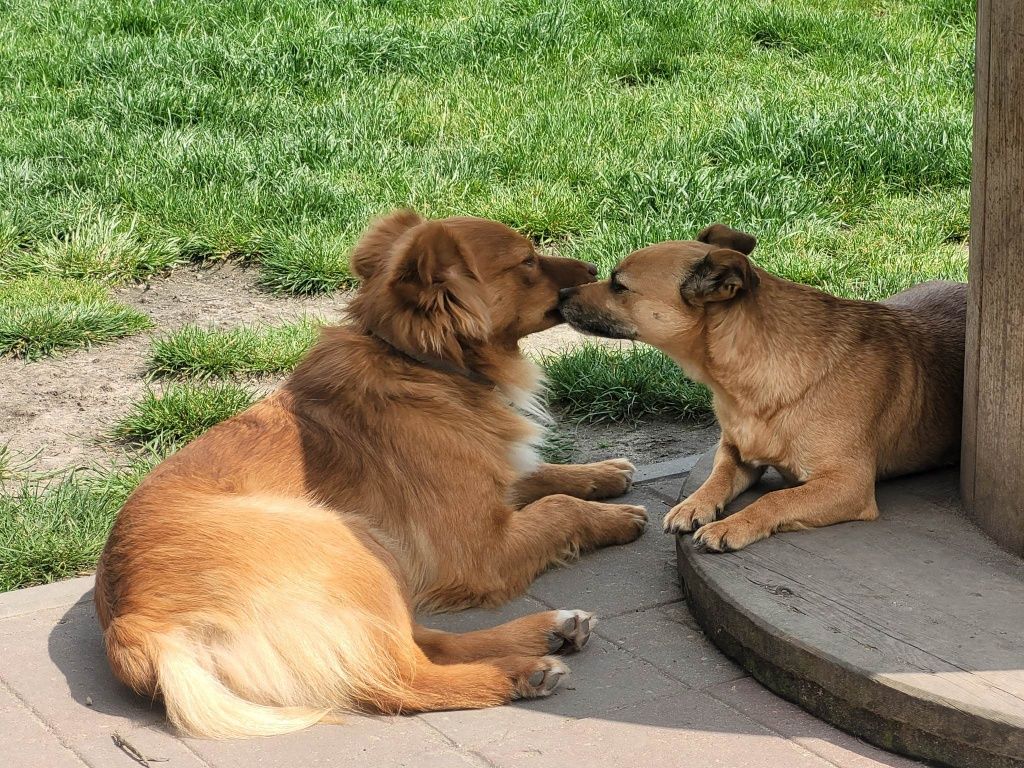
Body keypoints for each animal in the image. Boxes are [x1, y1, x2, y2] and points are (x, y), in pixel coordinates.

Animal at [94, 210, 647, 741]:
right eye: (527, 262)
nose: (594, 271)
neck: (423, 365)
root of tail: (135, 629)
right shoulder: (479, 551)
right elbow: (556, 508)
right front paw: (613, 518)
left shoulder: (488, 481)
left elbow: (534, 475)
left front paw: (601, 474)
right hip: (349, 542)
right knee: (401, 677)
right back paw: (520, 671)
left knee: (415, 642)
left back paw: (550, 630)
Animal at [557, 222, 962, 552]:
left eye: (618, 285)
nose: (560, 293)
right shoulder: (734, 450)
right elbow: (717, 476)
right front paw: (695, 503)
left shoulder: (848, 484)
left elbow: (776, 500)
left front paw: (732, 525)